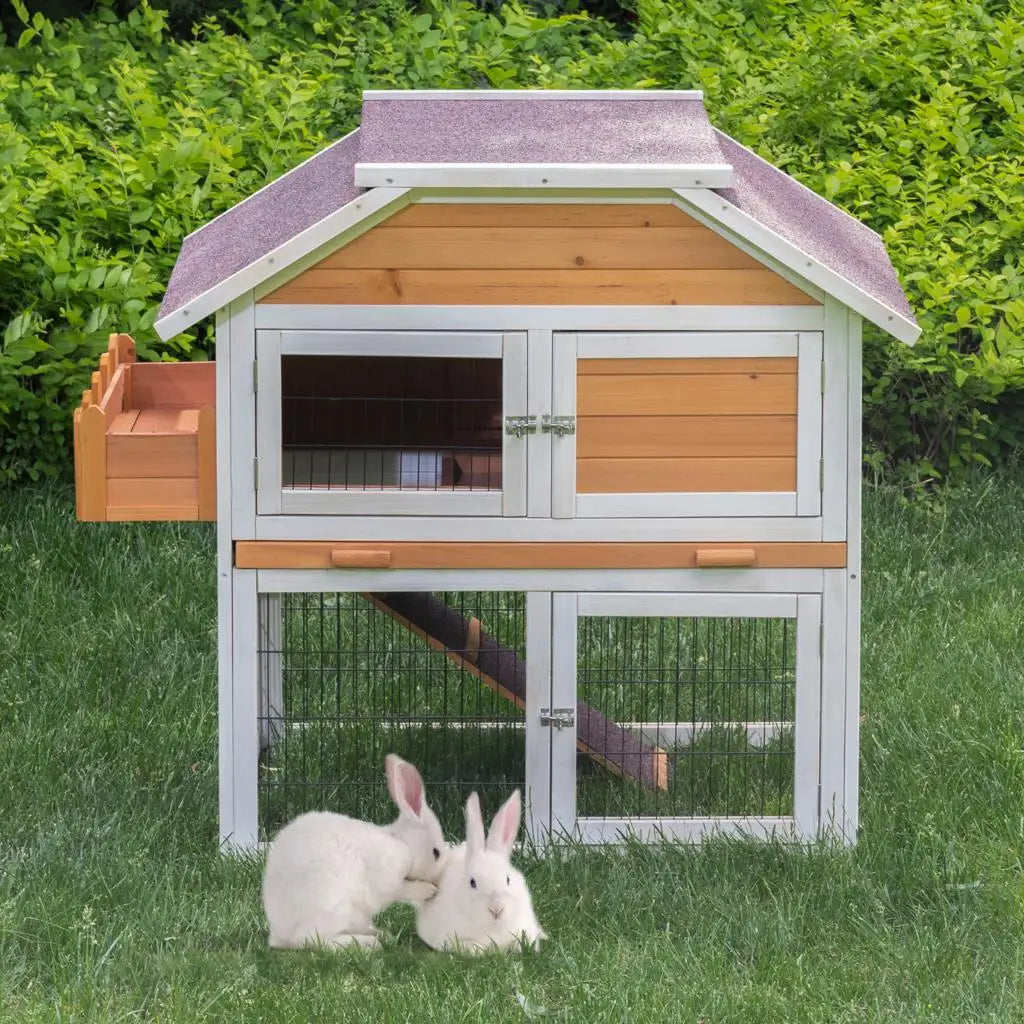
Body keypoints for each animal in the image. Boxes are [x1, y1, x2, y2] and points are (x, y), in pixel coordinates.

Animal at [260, 753, 444, 950]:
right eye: (436, 853)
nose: (438, 881)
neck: (404, 844)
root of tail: (280, 934)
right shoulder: (388, 878)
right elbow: (403, 889)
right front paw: (429, 890)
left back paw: (382, 935)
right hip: (335, 911)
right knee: (314, 940)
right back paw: (367, 943)